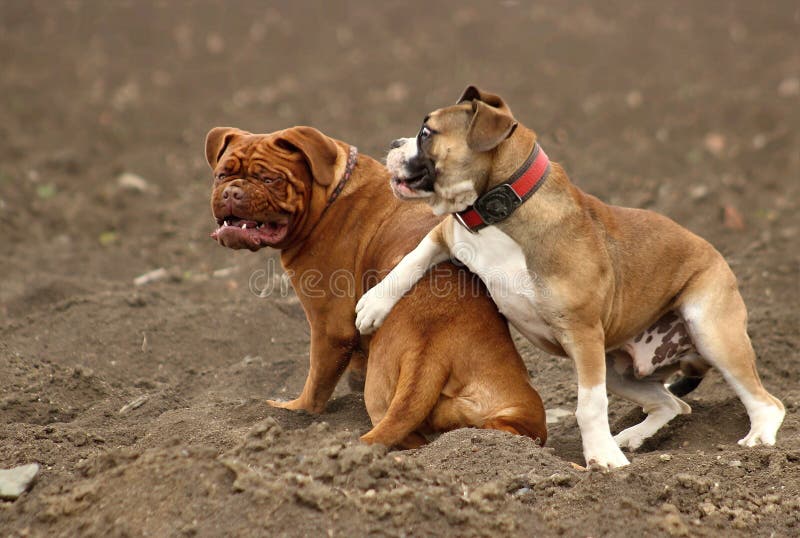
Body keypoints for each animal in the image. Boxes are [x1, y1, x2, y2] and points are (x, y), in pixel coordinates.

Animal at [203, 125, 548, 448]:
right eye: (222, 175)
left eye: (270, 179)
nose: (232, 192)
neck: (331, 193)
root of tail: (432, 348)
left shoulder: (329, 329)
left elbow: (315, 385)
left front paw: (292, 410)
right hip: (514, 404)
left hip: (381, 396)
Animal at [354, 85, 780, 464]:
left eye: (427, 132)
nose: (393, 141)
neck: (503, 210)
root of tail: (717, 255)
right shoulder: (447, 234)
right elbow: (412, 258)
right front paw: (373, 305)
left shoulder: (582, 333)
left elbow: (589, 405)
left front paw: (601, 459)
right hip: (618, 368)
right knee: (673, 405)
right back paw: (632, 437)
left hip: (709, 333)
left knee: (766, 401)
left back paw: (758, 439)